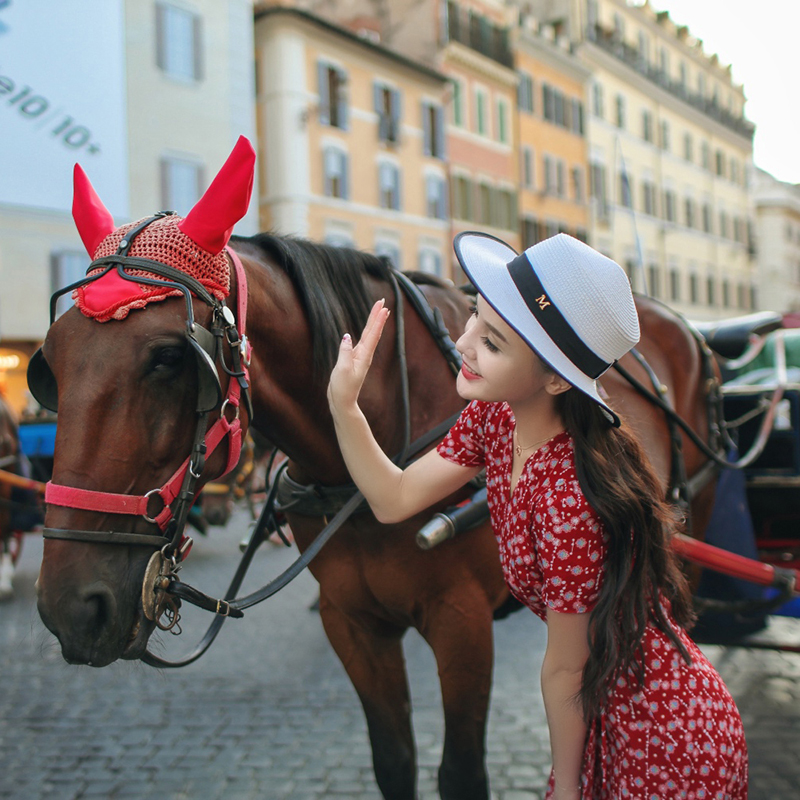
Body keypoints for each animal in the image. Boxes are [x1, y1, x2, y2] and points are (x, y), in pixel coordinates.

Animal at [31, 139, 716, 800]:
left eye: (171, 358)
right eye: (49, 366)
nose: (74, 608)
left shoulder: (463, 622)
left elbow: (460, 774)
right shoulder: (353, 624)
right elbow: (393, 761)